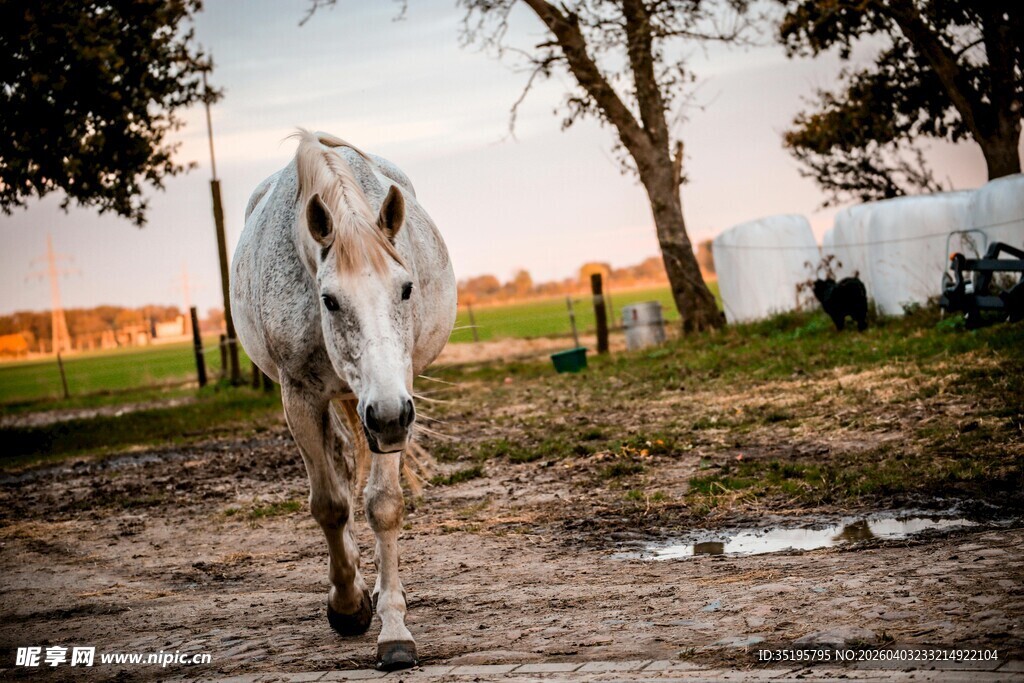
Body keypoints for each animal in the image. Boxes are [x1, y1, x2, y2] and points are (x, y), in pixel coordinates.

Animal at [230, 130, 457, 670]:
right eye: (329, 300)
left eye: (407, 288)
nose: (389, 416)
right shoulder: (300, 397)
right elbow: (331, 504)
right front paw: (348, 605)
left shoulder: (394, 398)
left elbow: (384, 505)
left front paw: (394, 629)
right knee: (337, 464)